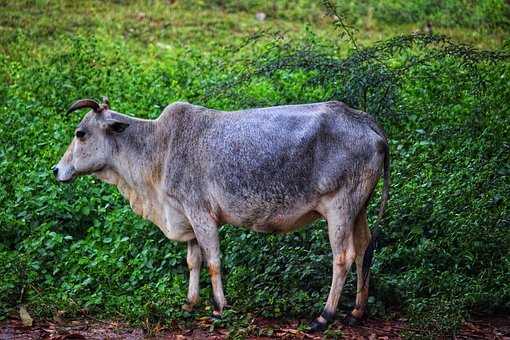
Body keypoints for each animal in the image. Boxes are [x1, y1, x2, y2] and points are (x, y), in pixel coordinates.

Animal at [53, 97, 388, 330]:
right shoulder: (185, 216)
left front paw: (219, 307)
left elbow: (212, 261)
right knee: (363, 250)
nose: (57, 170)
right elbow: (193, 260)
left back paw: (324, 317)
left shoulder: (200, 212)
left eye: (80, 133)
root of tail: (366, 122)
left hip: (339, 206)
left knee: (343, 256)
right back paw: (356, 312)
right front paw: (190, 303)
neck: (158, 148)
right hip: (359, 207)